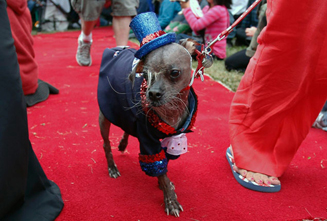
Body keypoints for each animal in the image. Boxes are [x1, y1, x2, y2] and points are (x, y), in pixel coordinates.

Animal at [97, 38, 200, 218]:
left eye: (174, 72)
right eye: (144, 75)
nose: (152, 94)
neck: (171, 111)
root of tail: (117, 48)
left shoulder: (171, 138)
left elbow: (163, 167)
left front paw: (164, 184)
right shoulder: (148, 141)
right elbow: (161, 171)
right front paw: (170, 199)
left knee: (127, 126)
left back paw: (122, 144)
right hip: (105, 116)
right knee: (106, 144)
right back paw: (112, 167)